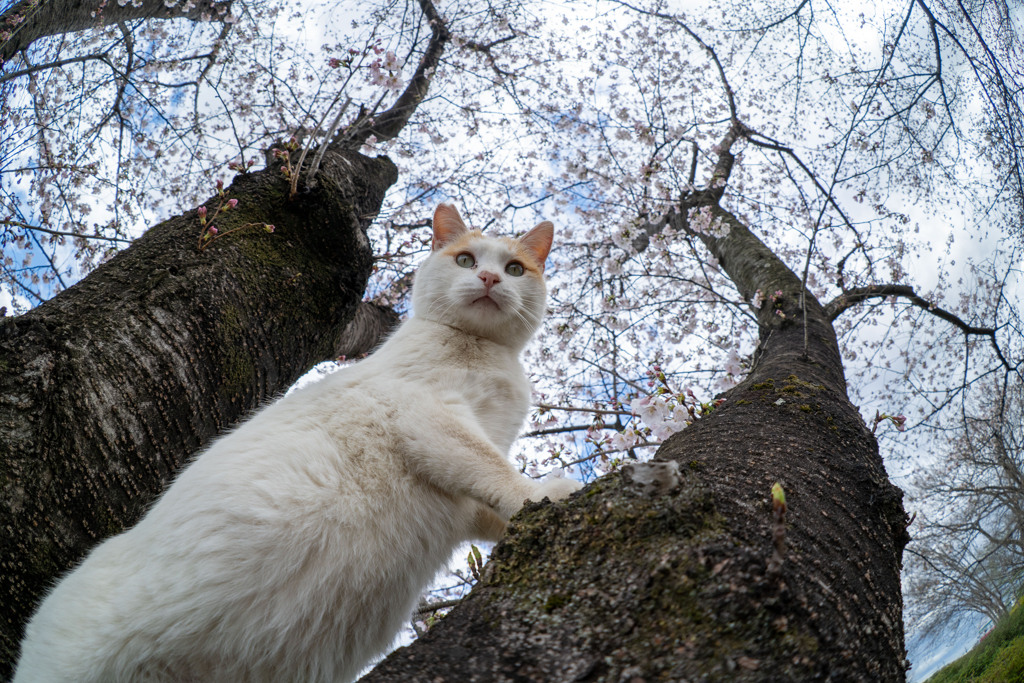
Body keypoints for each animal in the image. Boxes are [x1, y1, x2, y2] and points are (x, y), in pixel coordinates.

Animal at [16, 204, 581, 683]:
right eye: (465, 259)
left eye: (514, 269)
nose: (488, 279)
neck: (486, 353)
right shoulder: (429, 417)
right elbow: (491, 470)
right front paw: (544, 495)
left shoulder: (466, 482)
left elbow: (484, 504)